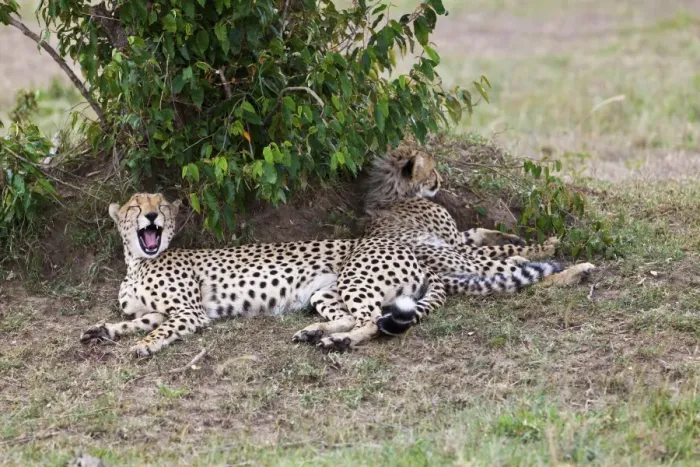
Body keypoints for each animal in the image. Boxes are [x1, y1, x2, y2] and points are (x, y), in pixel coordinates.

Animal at [291, 141, 595, 347]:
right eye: (433, 170)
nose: (441, 180)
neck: (394, 194)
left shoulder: (457, 239)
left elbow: (480, 231)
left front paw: (510, 236)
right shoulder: (456, 245)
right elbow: (502, 248)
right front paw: (540, 245)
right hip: (461, 263)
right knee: (521, 275)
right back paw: (577, 270)